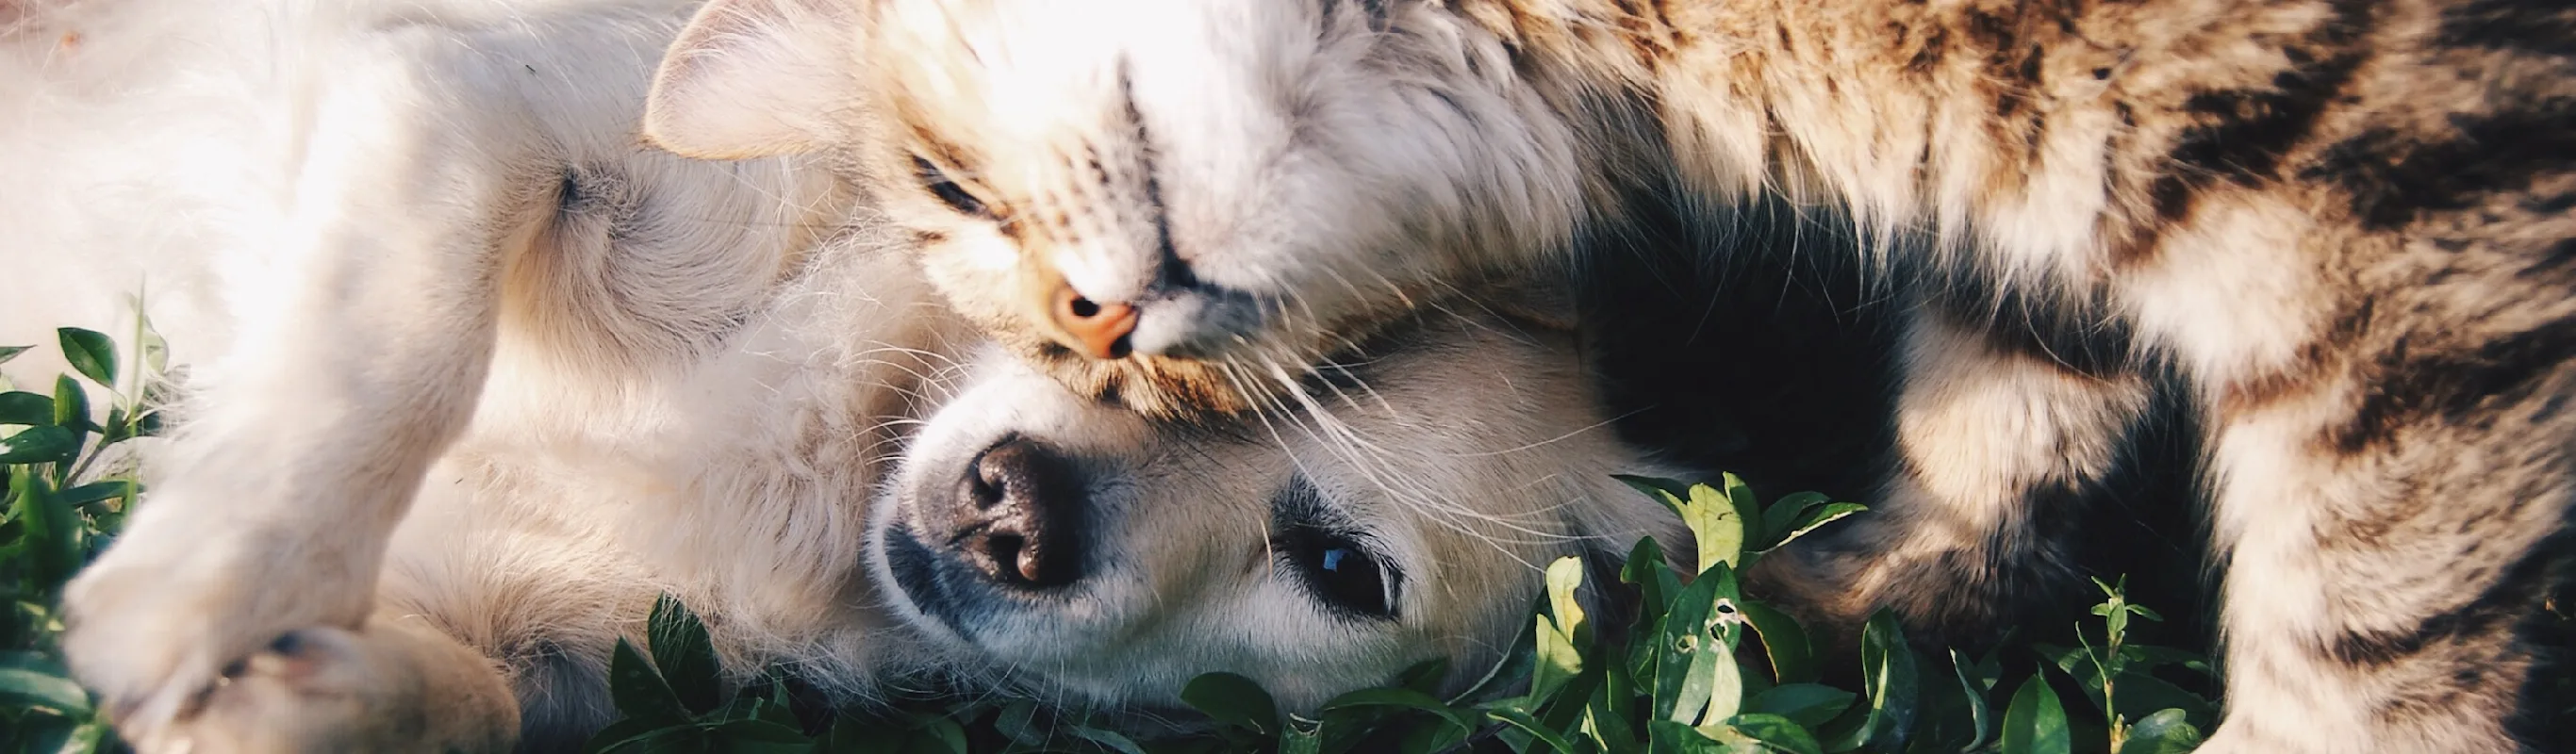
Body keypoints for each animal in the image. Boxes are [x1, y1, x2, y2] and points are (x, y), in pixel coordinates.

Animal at [15, 0, 1690, 746]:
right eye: (1093, 320)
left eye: (1342, 570)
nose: (1018, 510)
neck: (845, 449)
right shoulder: (471, 96)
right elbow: (397, 342)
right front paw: (209, 581)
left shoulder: (556, 656)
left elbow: (472, 699)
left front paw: (287, 696)